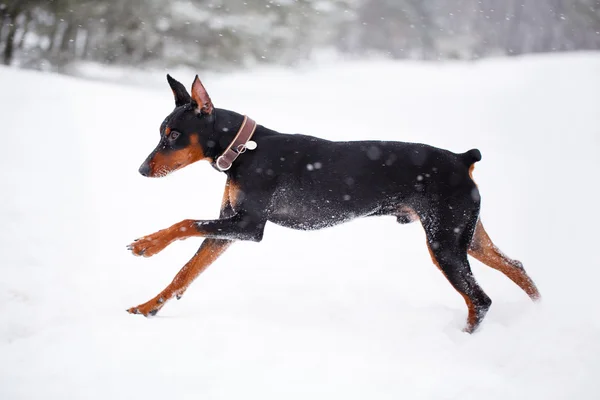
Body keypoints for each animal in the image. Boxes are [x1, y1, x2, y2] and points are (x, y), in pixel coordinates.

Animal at [126, 74, 540, 332]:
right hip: (466, 235)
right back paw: (538, 311)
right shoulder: (228, 227)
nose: (142, 170)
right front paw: (148, 307)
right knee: (515, 266)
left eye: (173, 134)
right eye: (161, 132)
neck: (246, 150)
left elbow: (183, 223)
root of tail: (461, 158)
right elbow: (185, 272)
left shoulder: (248, 226)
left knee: (480, 300)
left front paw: (147, 244)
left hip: (444, 241)